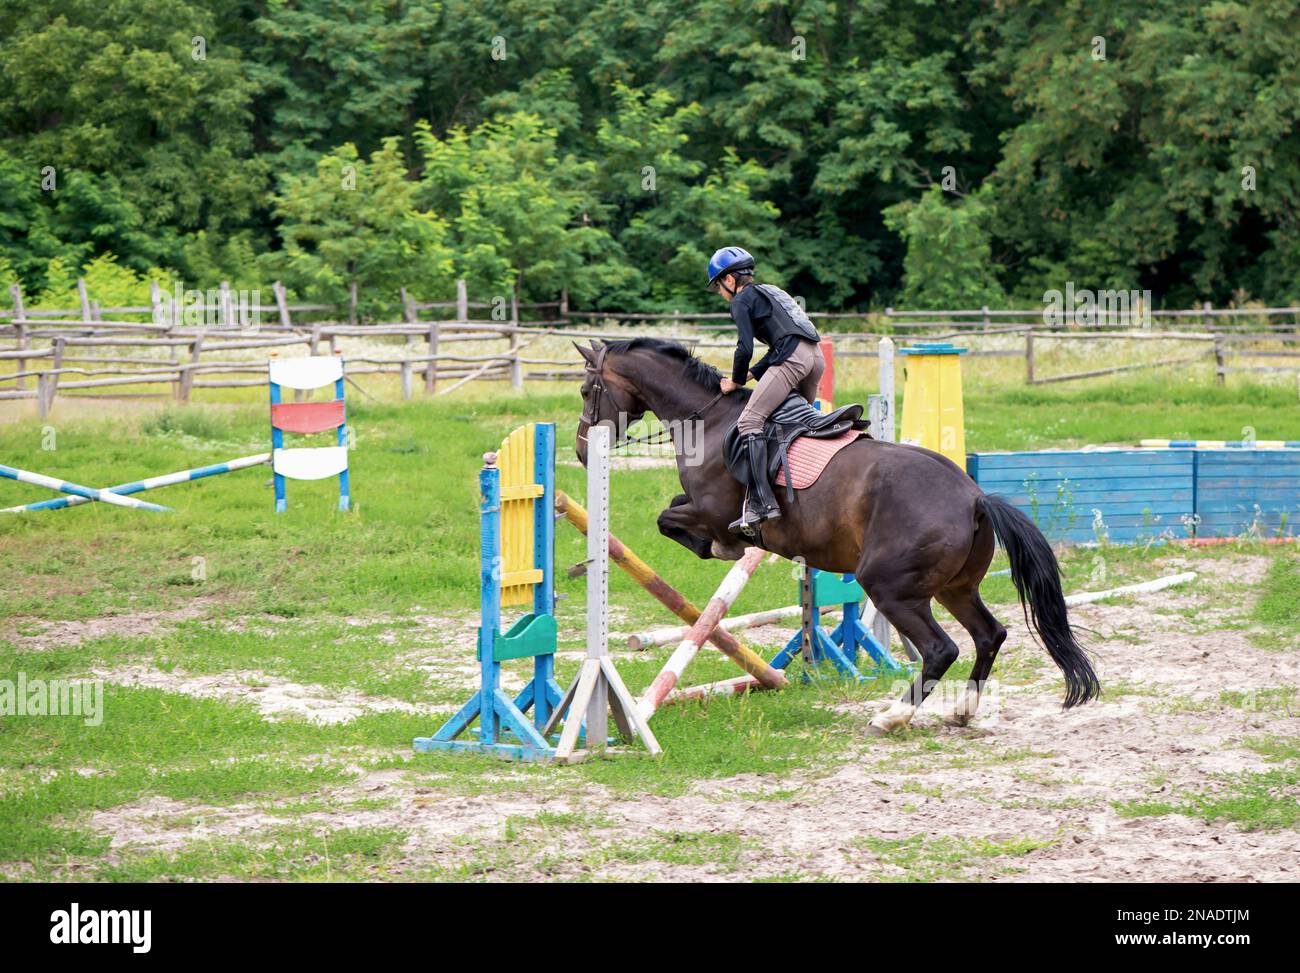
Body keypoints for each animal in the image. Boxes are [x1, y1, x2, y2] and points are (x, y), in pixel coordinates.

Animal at [579, 338, 1097, 733]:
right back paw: (963, 711)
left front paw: (725, 546)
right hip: (955, 588)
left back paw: (892, 716)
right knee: (990, 635)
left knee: (941, 649)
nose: (584, 452)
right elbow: (670, 513)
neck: (707, 419)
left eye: (587, 389)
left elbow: (670, 519)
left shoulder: (710, 509)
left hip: (890, 587)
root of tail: (974, 498)